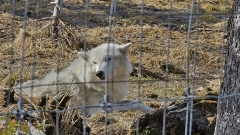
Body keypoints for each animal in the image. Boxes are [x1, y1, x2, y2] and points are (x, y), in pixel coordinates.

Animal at [15, 42, 153, 115]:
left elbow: (133, 101)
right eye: (94, 62)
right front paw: (151, 110)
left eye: (108, 59)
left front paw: (151, 108)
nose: (99, 73)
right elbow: (134, 104)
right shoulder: (97, 109)